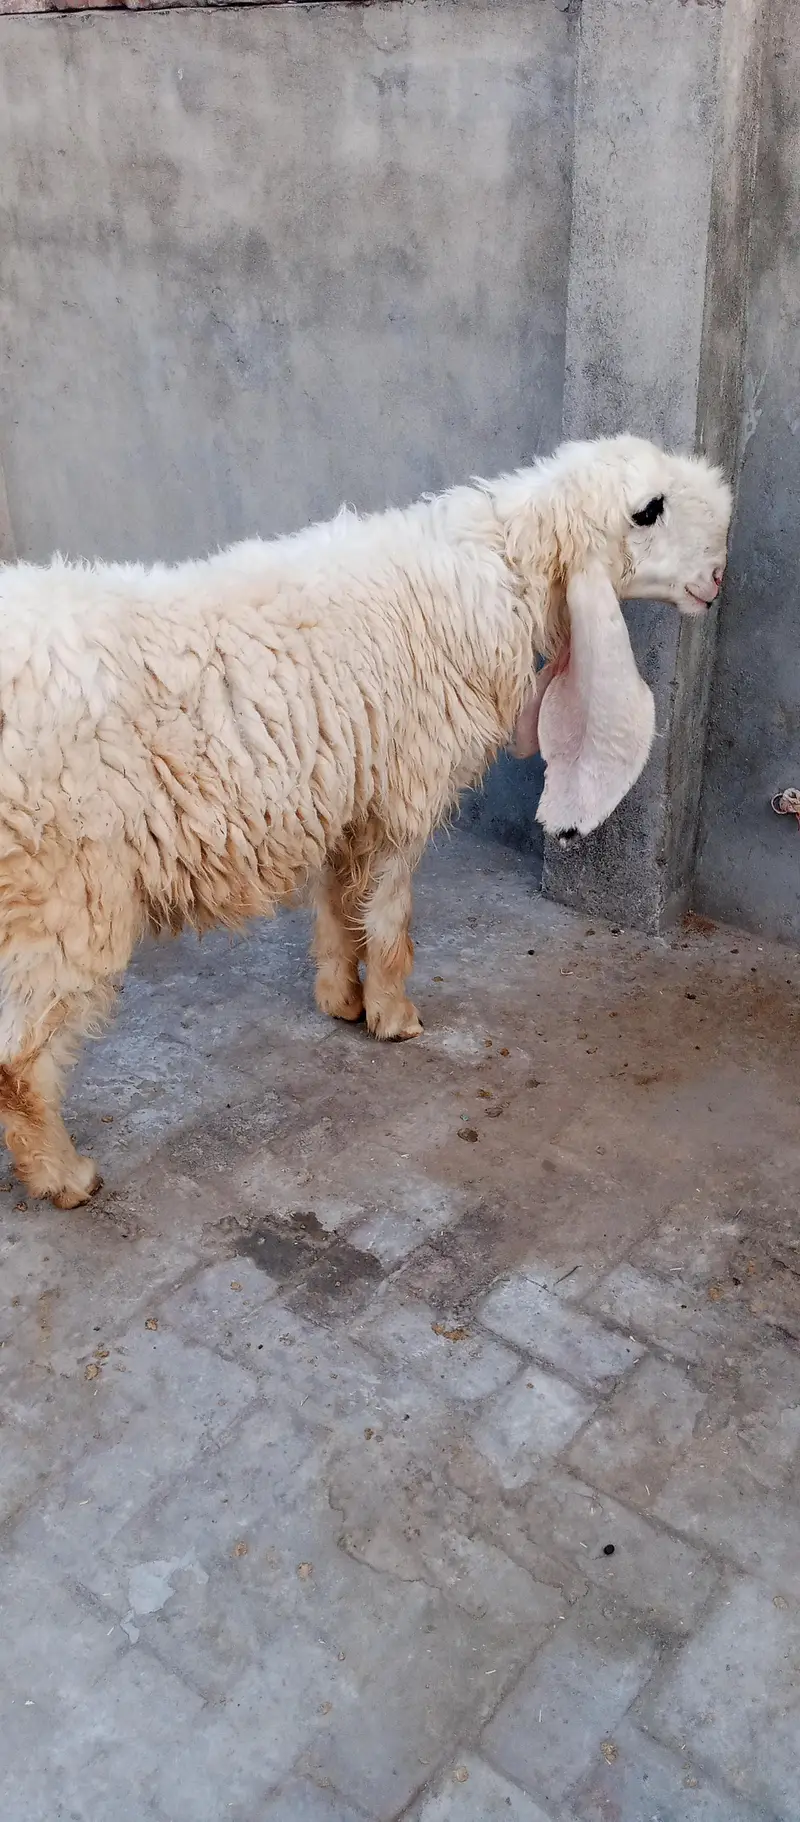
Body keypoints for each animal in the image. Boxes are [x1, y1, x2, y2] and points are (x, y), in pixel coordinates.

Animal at [0, 434, 731, 1207]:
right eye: (648, 510)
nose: (716, 577)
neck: (490, 574)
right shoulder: (405, 788)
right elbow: (389, 914)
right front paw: (391, 1015)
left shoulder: (348, 788)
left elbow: (337, 899)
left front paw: (339, 998)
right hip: (65, 887)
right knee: (20, 1057)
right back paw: (63, 1176)